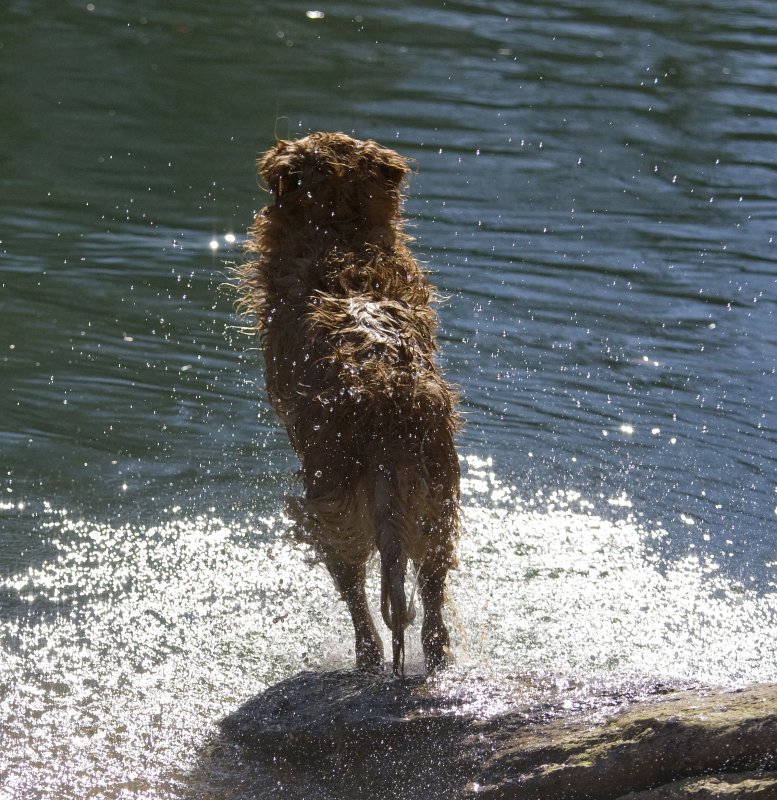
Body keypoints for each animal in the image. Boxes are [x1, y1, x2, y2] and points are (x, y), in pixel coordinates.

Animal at [233, 133, 458, 676]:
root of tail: (384, 405)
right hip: (436, 492)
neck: (342, 235)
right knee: (432, 585)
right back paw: (437, 657)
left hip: (330, 497)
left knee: (354, 588)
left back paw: (367, 658)